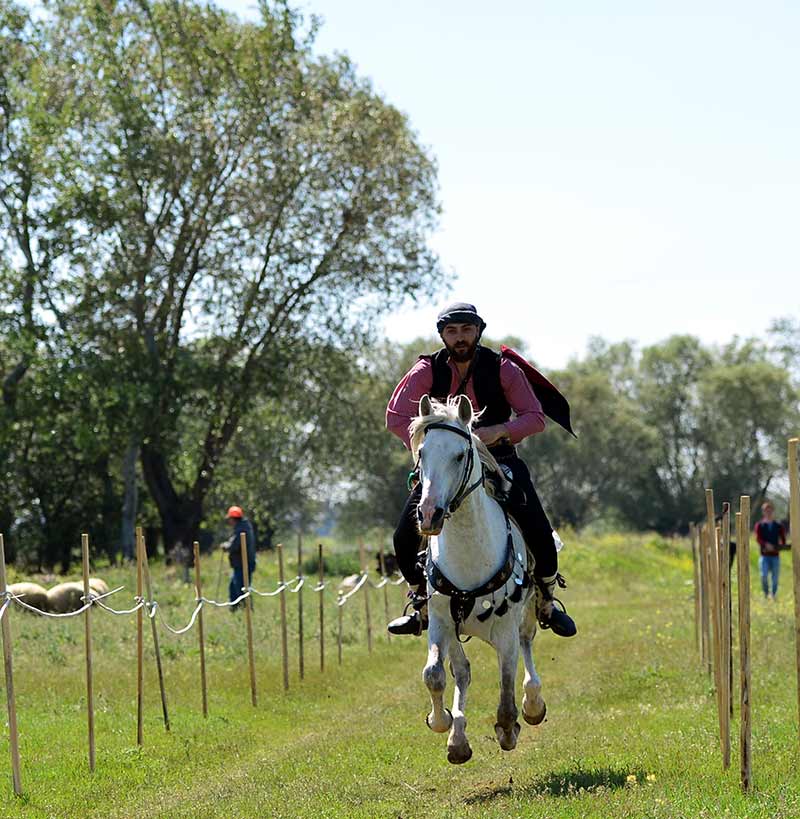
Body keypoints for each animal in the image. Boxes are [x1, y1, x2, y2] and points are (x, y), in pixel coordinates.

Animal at [410, 394, 548, 764]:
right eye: (421, 452)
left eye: (460, 455)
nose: (429, 514)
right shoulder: (441, 620)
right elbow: (434, 674)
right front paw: (442, 722)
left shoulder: (505, 628)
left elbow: (506, 681)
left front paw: (508, 728)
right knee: (462, 671)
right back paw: (457, 736)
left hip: (526, 614)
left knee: (526, 647)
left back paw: (533, 705)